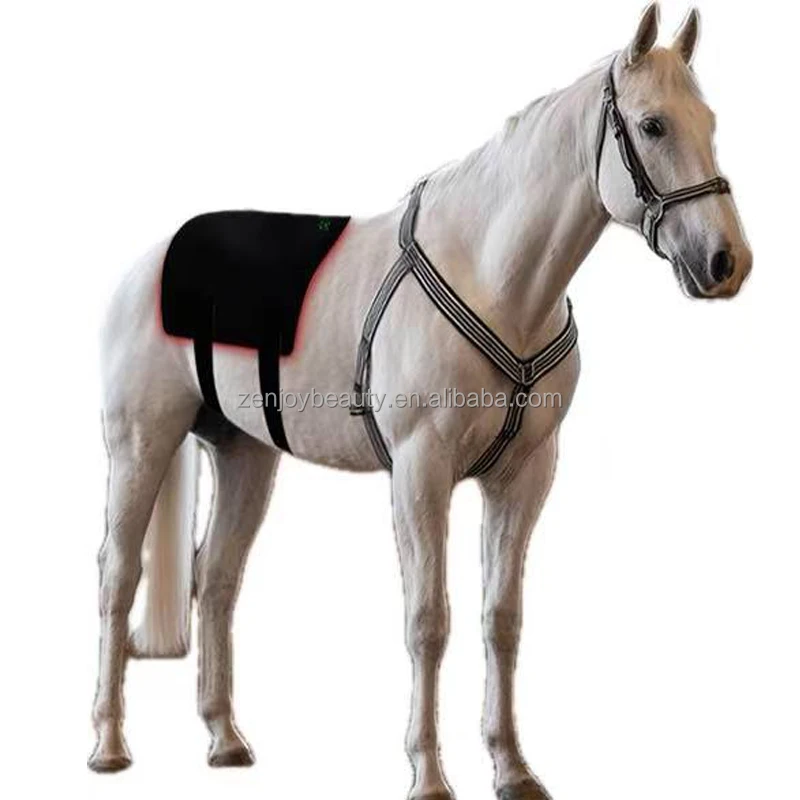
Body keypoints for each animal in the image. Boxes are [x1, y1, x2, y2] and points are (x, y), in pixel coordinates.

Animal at [89, 5, 752, 799]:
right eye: (652, 125)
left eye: (709, 121)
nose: (726, 263)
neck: (494, 279)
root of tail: (148, 265)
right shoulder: (420, 471)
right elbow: (428, 619)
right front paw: (429, 775)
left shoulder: (524, 476)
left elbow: (501, 618)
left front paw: (512, 768)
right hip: (140, 443)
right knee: (118, 576)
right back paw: (108, 745)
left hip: (246, 454)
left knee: (216, 579)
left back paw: (224, 739)